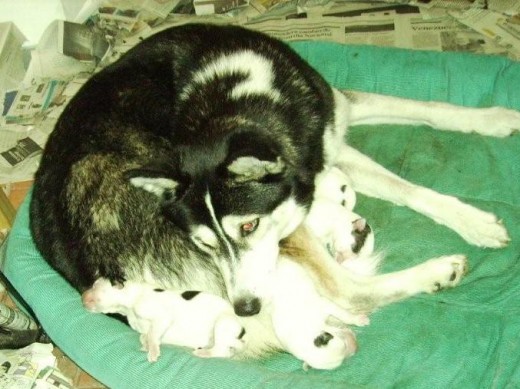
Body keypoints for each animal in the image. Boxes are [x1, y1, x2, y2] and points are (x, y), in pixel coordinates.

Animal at [30, 23, 516, 358]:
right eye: (204, 244)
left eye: (248, 227)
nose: (244, 308)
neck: (234, 91)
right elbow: (403, 183)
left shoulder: (328, 126)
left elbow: (426, 120)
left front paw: (494, 124)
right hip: (291, 236)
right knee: (348, 290)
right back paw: (438, 271)